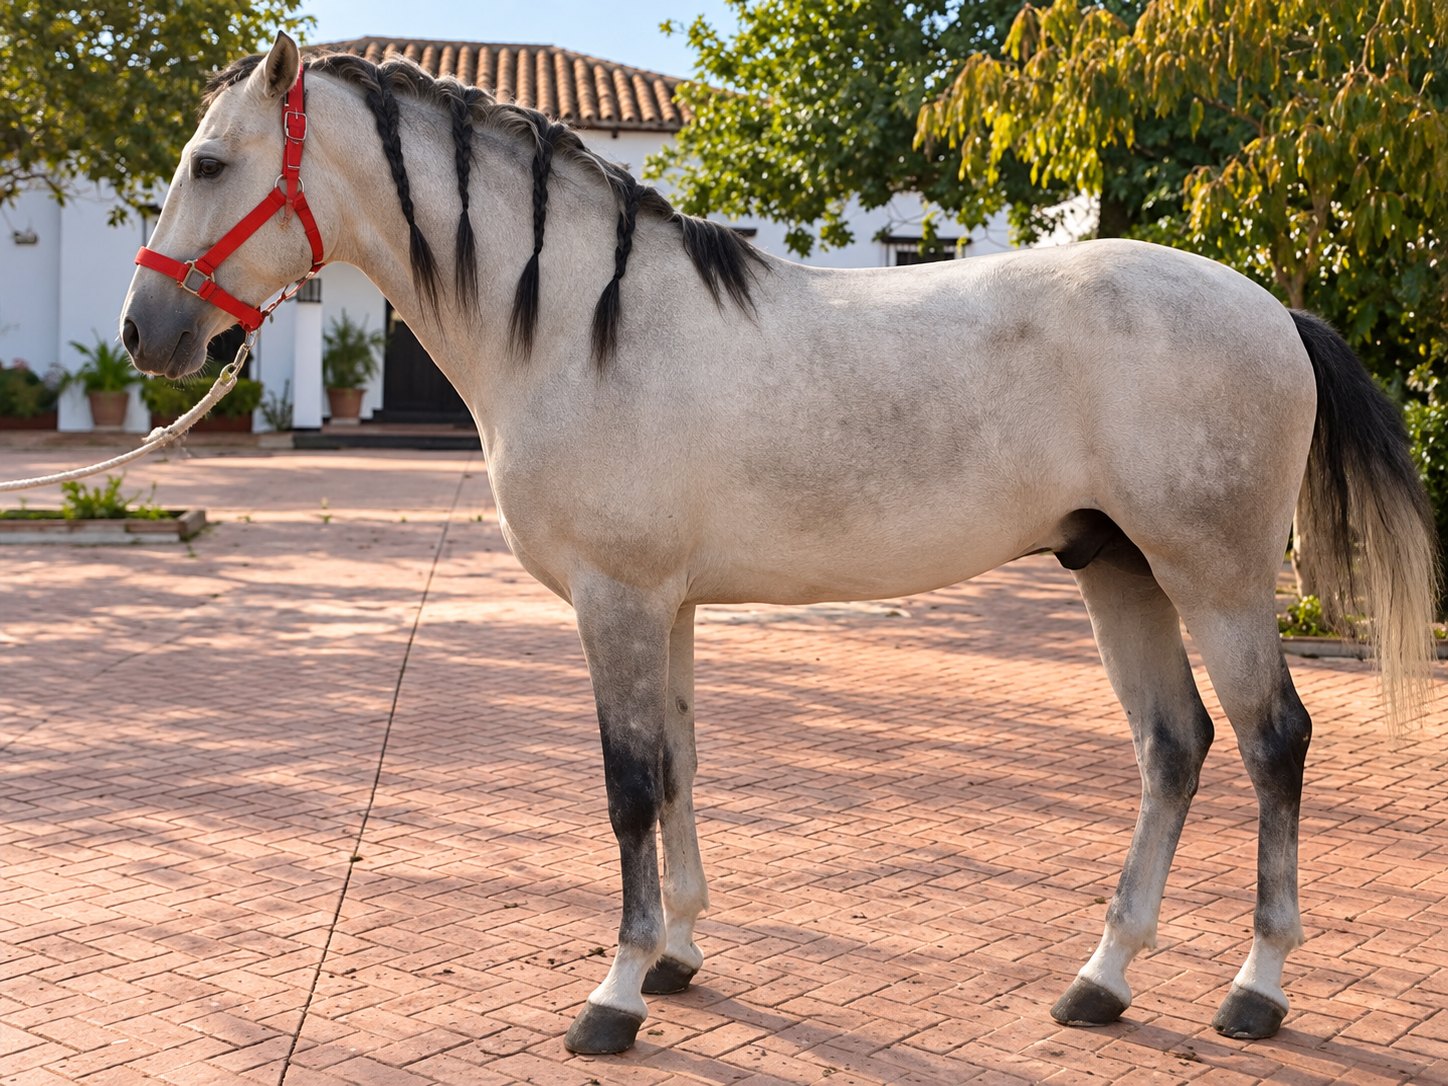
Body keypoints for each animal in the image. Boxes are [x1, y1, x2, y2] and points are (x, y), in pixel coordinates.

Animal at [119, 33, 1437, 1055]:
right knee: (1173, 749)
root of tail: (1271, 307)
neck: (586, 327)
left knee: (1271, 744)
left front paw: (612, 996)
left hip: (1215, 578)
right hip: (1118, 572)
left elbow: (626, 787)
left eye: (209, 162)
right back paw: (1100, 980)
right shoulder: (668, 607)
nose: (144, 331)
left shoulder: (616, 600)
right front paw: (675, 958)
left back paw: (1253, 991)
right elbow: (680, 768)